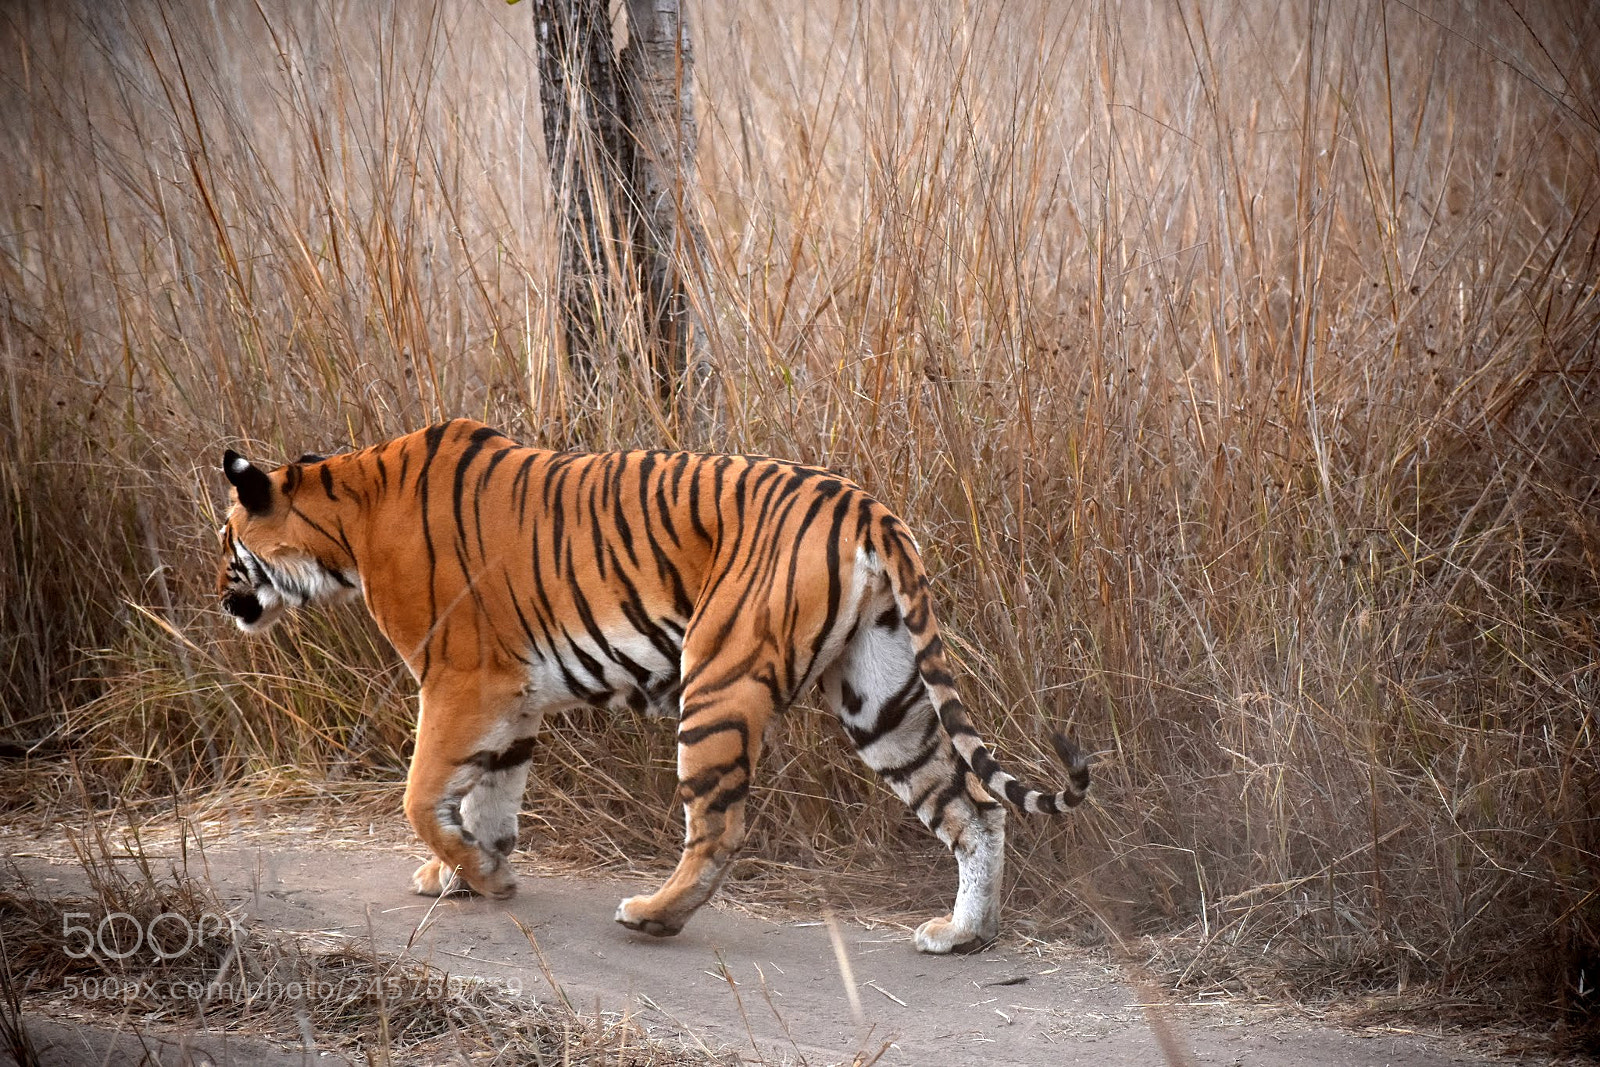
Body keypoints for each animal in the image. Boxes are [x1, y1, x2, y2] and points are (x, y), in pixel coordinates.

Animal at [216, 418, 1089, 953]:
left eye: (229, 542)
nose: (223, 599)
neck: (345, 524)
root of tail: (864, 504)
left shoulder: (461, 682)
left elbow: (423, 792)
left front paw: (480, 875)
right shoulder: (514, 699)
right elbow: (488, 797)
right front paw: (474, 873)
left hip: (718, 679)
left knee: (720, 824)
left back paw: (653, 915)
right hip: (883, 696)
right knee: (973, 808)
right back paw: (963, 933)